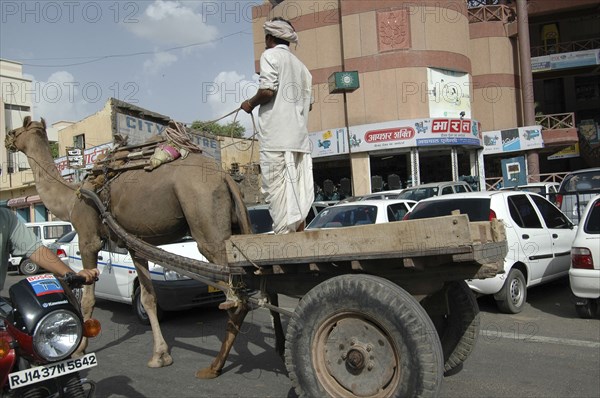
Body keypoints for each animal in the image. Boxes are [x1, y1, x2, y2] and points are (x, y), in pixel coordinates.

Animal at [4, 116, 258, 380]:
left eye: (16, 130)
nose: (7, 140)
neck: (72, 198)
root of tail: (224, 176)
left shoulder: (88, 237)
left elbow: (88, 298)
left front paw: (79, 349)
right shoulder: (135, 244)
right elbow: (148, 297)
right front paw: (160, 356)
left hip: (204, 214)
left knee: (236, 297)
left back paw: (213, 367)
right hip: (235, 219)